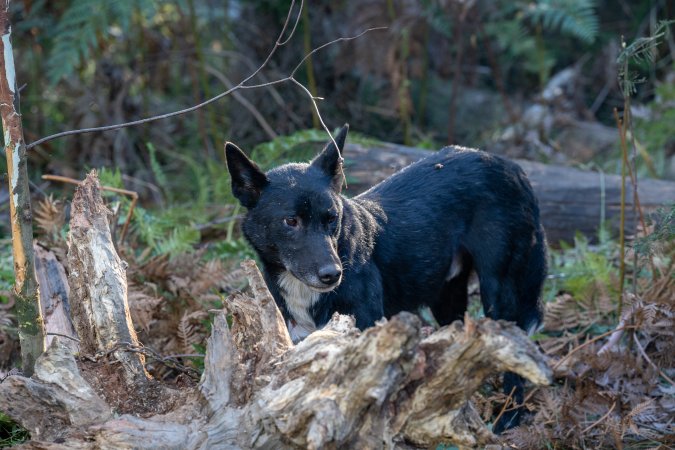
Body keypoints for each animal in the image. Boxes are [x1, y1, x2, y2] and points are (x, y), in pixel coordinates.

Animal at [224, 125, 548, 430]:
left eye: (332, 218)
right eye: (290, 221)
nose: (333, 275)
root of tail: (512, 166)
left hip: (499, 289)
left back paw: (509, 417)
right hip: (446, 298)